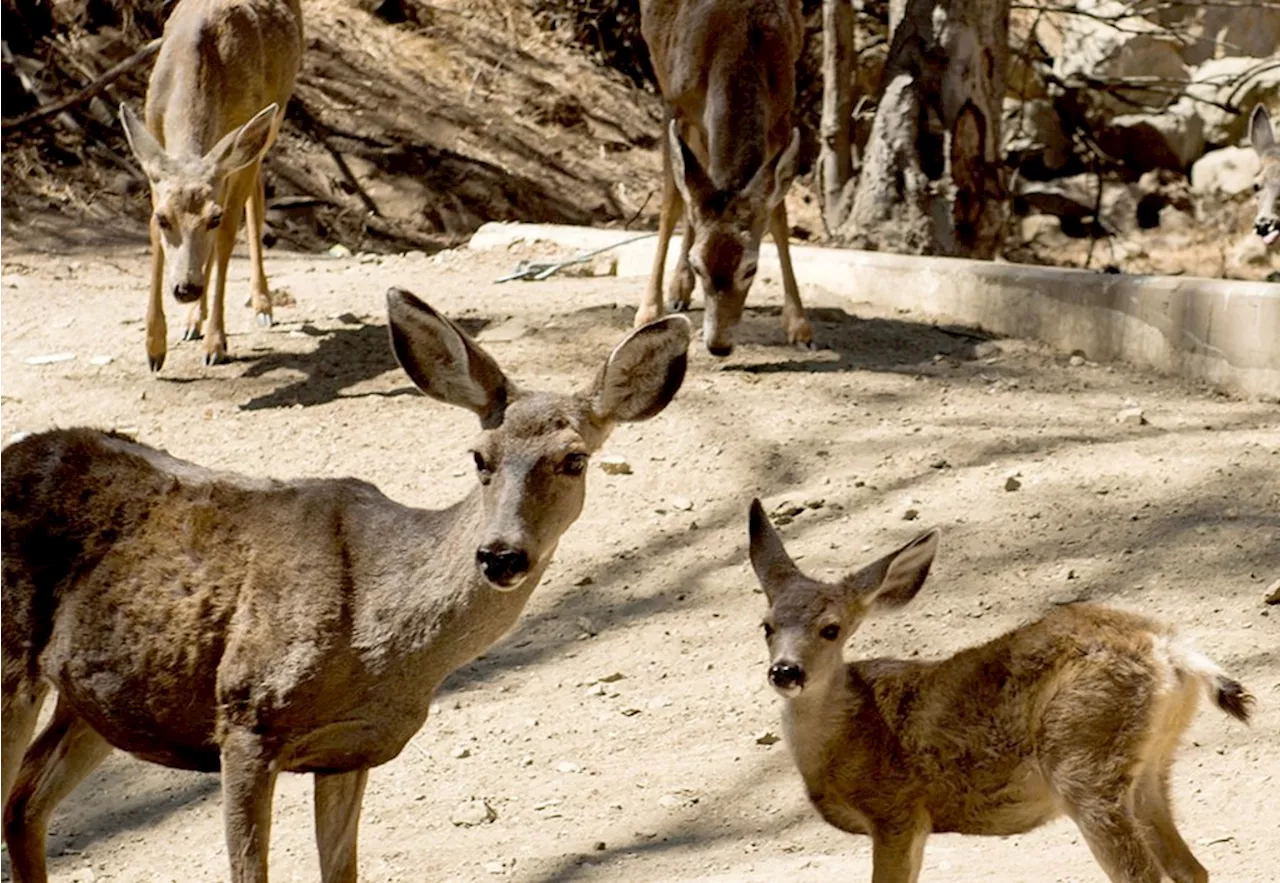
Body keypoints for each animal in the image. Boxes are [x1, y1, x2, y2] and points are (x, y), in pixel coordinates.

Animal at [0, 290, 691, 880]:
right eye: (479, 456)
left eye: (574, 460)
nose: (500, 555)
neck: (380, 641)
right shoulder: (245, 715)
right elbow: (249, 872)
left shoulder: (349, 751)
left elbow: (343, 871)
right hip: (13, 665)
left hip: (97, 699)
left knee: (24, 804)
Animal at [117, 0, 302, 368]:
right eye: (163, 218)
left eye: (212, 218)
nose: (186, 288)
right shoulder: (154, 143)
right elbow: (154, 236)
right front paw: (155, 347)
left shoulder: (238, 148)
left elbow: (228, 236)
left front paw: (216, 344)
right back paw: (193, 321)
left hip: (270, 123)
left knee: (256, 197)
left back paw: (261, 304)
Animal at [637, 1, 814, 358]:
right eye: (699, 265)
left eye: (752, 268)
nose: (718, 345)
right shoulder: (674, 103)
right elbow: (670, 206)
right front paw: (648, 311)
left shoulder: (781, 114)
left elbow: (778, 217)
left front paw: (799, 326)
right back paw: (675, 291)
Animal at [747, 496, 1254, 880]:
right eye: (766, 626)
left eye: (831, 629)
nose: (786, 672)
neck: (845, 735)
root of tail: (1170, 648)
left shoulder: (897, 811)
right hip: (1151, 765)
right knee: (1191, 869)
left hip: (1082, 759)